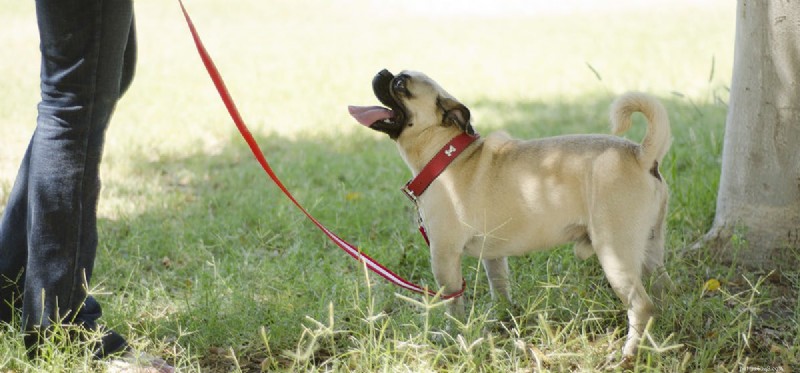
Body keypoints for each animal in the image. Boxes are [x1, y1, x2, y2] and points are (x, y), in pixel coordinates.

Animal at [350, 68, 676, 356]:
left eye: (400, 85)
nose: (382, 72)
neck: (445, 155)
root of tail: (641, 155)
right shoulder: (493, 257)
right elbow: (500, 289)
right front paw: (503, 320)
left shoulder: (443, 258)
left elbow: (453, 304)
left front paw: (453, 336)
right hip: (650, 247)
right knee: (661, 290)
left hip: (614, 254)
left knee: (641, 305)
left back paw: (630, 352)